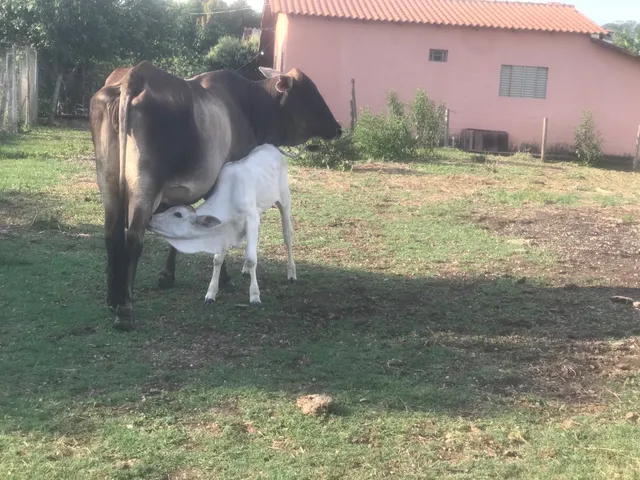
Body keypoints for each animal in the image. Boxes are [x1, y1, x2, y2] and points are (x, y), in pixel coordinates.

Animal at [147, 144, 298, 305]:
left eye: (177, 214)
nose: (150, 218)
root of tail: (272, 146)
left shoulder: (251, 218)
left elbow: (252, 259)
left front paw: (255, 296)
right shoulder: (227, 229)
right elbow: (217, 260)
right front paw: (211, 293)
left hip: (285, 200)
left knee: (287, 235)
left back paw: (291, 273)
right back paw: (246, 269)